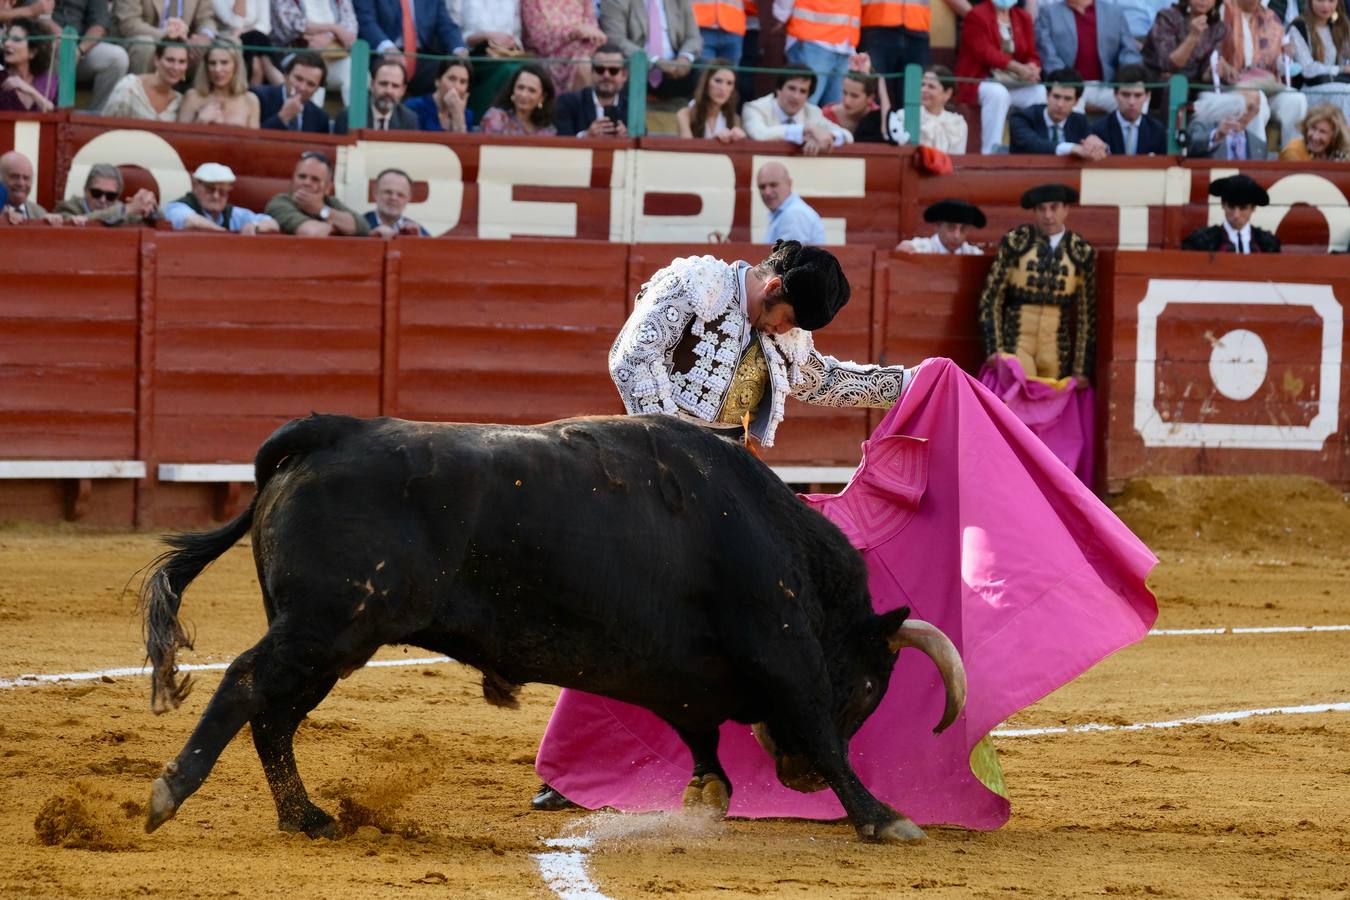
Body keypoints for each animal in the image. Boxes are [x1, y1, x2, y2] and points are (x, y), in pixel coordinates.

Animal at [142, 415, 966, 847]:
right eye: (869, 686)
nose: (793, 779)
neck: (777, 539)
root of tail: (329, 434)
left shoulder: (685, 679)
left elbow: (699, 733)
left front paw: (707, 794)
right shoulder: (785, 652)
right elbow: (822, 731)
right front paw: (884, 818)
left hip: (331, 642)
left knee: (274, 716)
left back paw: (306, 818)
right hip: (325, 627)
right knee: (246, 685)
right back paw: (168, 794)